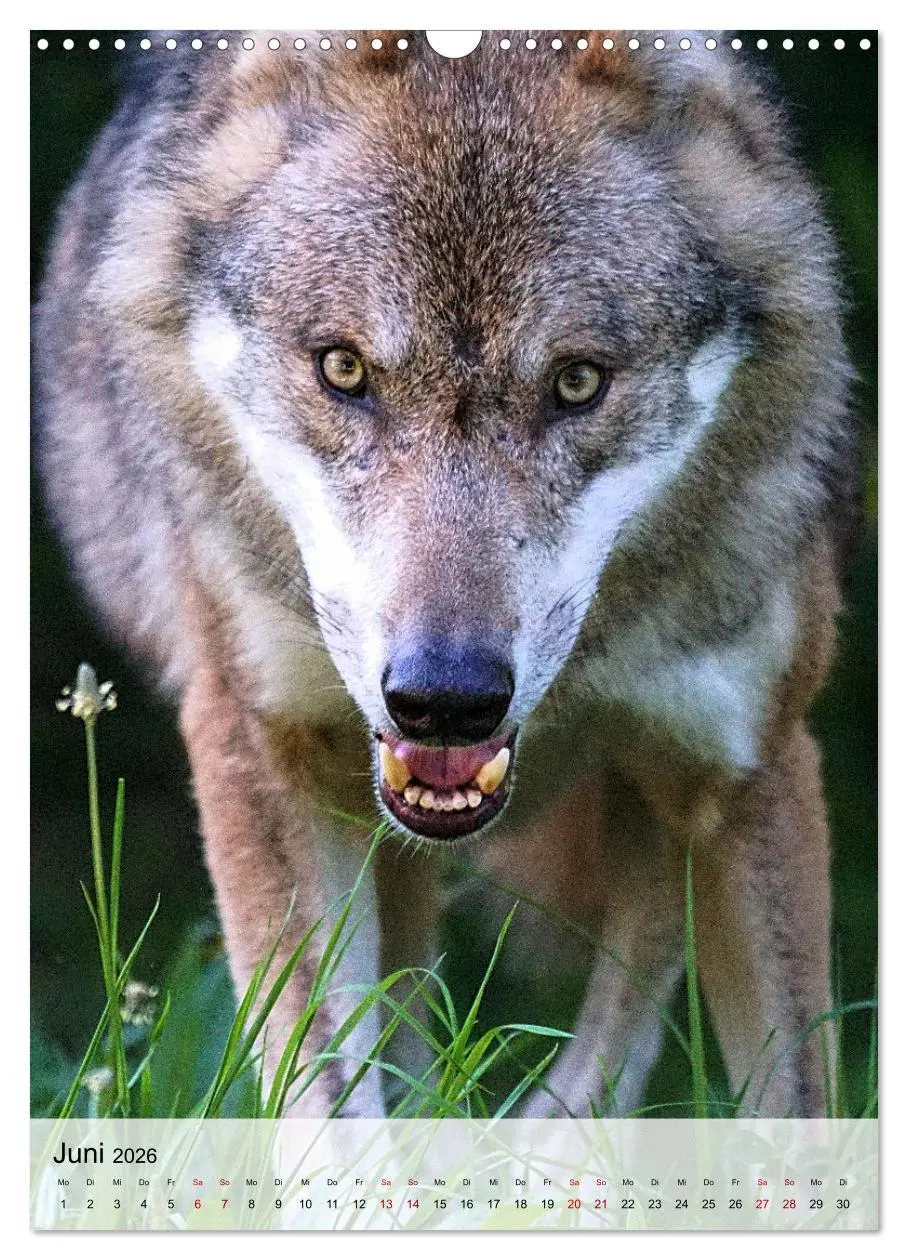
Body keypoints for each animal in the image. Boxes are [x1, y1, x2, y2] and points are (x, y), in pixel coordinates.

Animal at [35, 30, 854, 1118]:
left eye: (577, 382)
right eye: (343, 370)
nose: (444, 699)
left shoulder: (751, 765)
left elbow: (793, 1118)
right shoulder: (259, 744)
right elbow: (334, 1116)